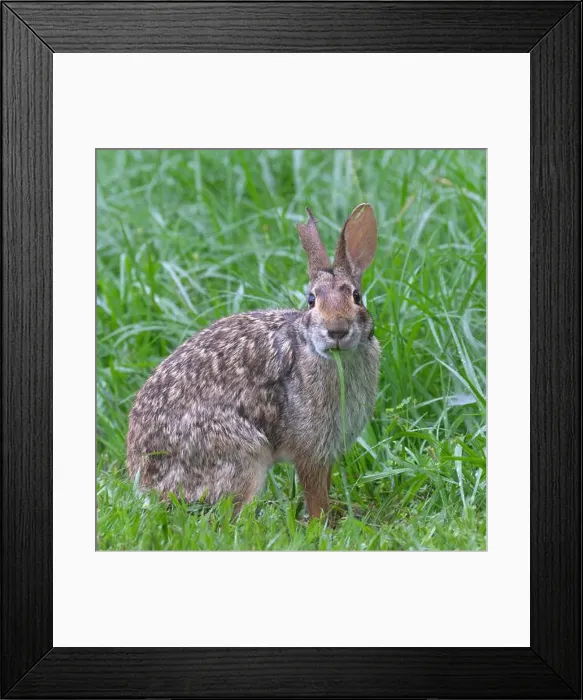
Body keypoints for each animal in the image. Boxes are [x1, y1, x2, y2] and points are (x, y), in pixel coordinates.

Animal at [126, 203, 380, 518]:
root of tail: (145, 481)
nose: (337, 330)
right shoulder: (311, 449)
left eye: (357, 297)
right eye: (311, 301)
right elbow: (315, 492)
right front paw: (322, 522)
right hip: (243, 456)